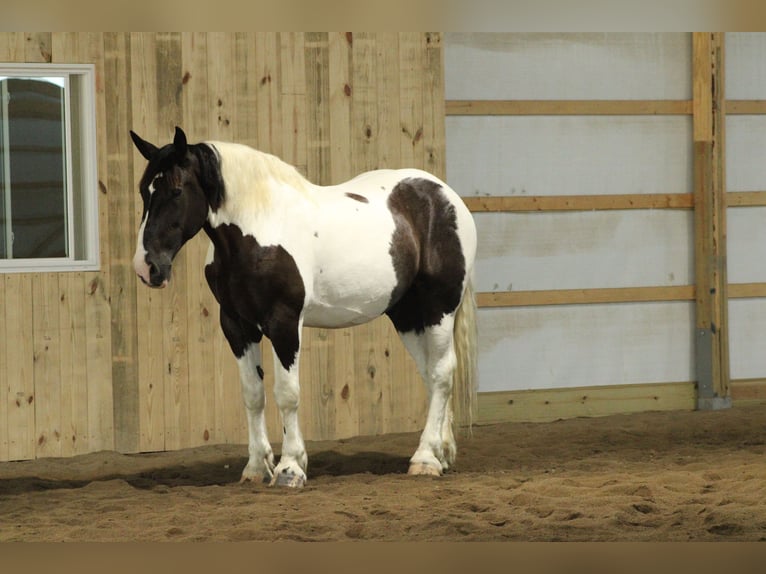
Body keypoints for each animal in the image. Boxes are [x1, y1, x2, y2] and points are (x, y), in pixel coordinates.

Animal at [130, 126, 478, 488]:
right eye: (144, 190)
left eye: (176, 190)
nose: (147, 267)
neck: (259, 229)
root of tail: (445, 196)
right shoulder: (237, 325)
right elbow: (252, 394)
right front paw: (256, 468)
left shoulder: (284, 322)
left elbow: (287, 393)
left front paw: (290, 468)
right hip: (408, 315)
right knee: (431, 374)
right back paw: (440, 454)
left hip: (439, 308)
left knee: (441, 374)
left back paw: (425, 460)